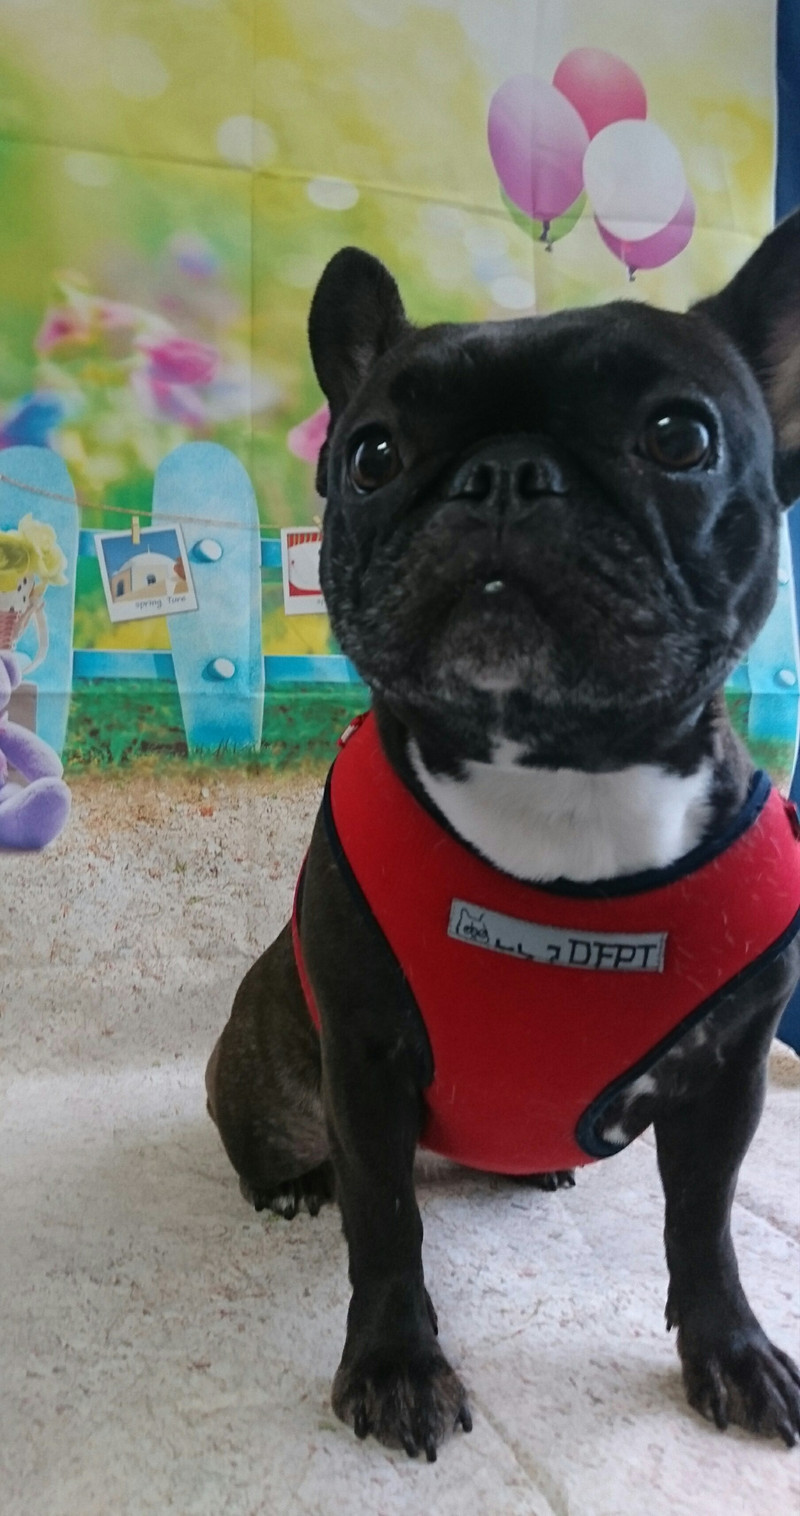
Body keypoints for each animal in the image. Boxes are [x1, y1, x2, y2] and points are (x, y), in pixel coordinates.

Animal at [206, 210, 800, 1460]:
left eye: (679, 435)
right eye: (372, 454)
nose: (504, 474)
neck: (559, 773)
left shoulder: (727, 1072)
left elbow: (705, 1223)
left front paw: (729, 1353)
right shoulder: (366, 1060)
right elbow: (387, 1228)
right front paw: (394, 1366)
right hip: (274, 1077)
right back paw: (292, 1186)